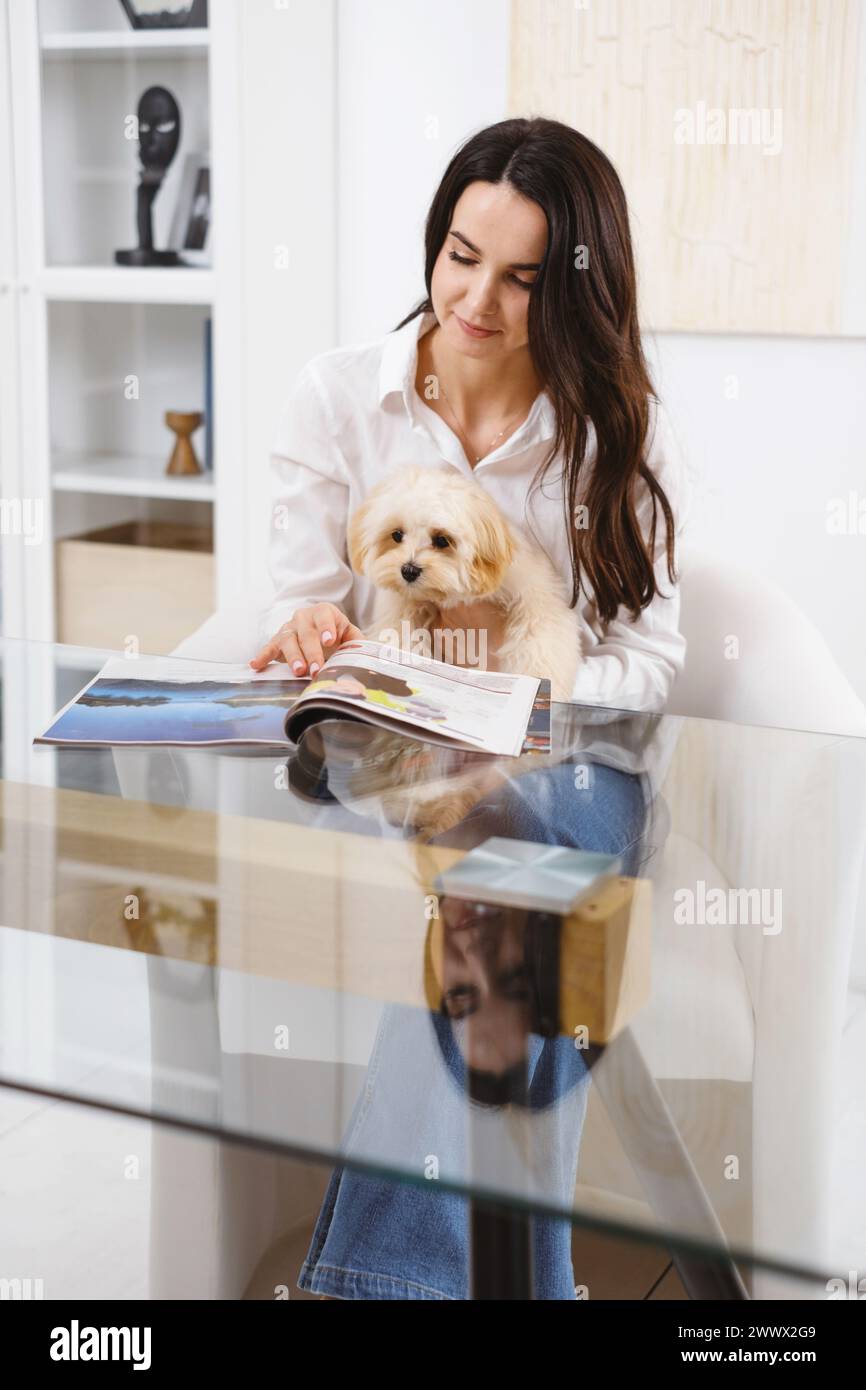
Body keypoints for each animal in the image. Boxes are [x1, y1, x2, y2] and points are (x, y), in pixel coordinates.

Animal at [347, 467, 583, 700]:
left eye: (442, 540)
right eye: (396, 535)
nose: (409, 570)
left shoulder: (536, 597)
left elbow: (540, 644)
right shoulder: (403, 609)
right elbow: (401, 638)